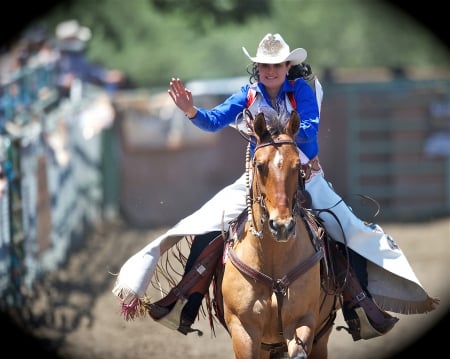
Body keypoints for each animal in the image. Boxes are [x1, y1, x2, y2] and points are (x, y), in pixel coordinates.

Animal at [220, 112, 340, 359]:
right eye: (259, 165)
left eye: (297, 166)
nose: (282, 226)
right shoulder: (243, 328)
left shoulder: (302, 320)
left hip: (321, 338)